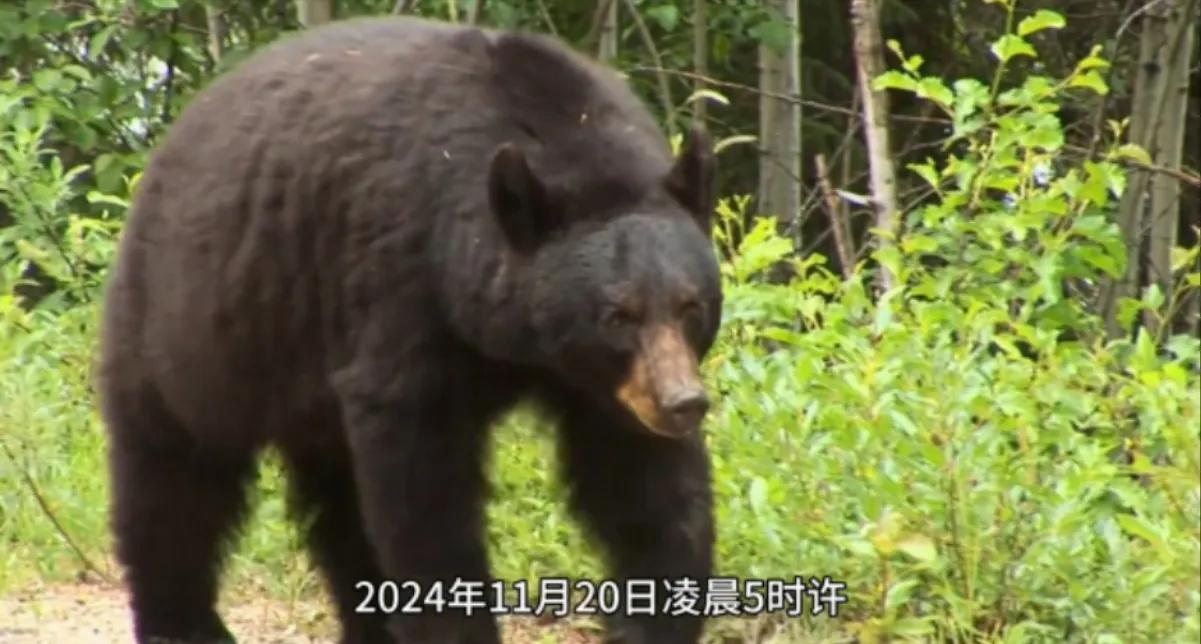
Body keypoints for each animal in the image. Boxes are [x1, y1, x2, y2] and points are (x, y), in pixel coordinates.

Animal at [98, 13, 720, 644]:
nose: (683, 402)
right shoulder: (401, 286)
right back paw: (181, 620)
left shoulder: (610, 386)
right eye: (617, 315)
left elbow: (642, 484)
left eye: (690, 306)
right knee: (174, 471)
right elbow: (423, 487)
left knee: (337, 501)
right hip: (194, 324)